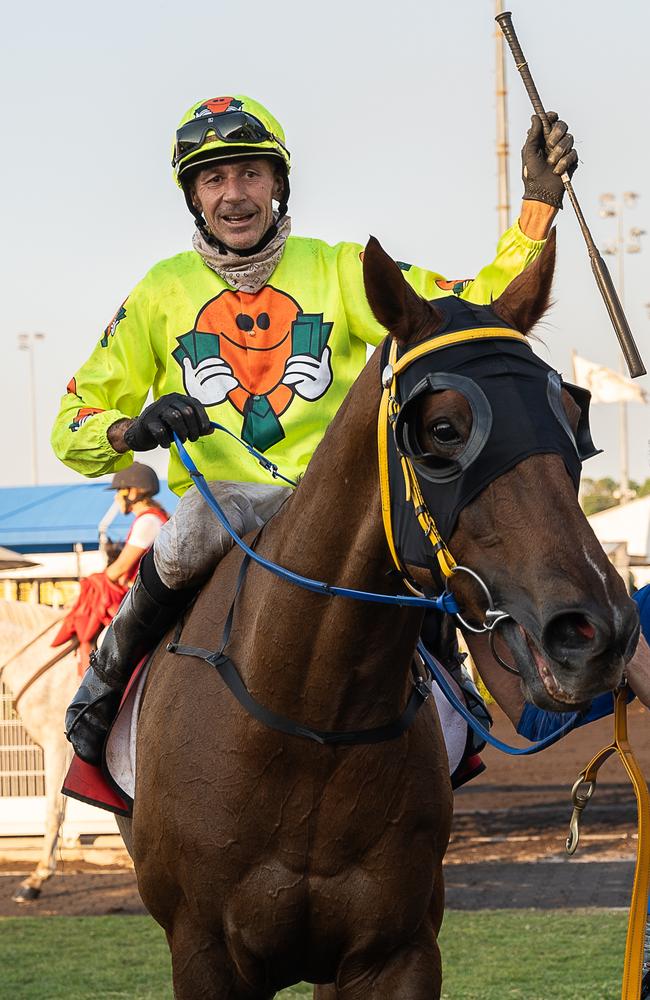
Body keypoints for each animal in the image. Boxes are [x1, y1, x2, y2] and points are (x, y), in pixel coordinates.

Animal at [119, 230, 636, 996]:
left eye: (573, 421)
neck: (311, 725)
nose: (596, 632)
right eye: (444, 429)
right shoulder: (204, 952)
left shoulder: (397, 951)